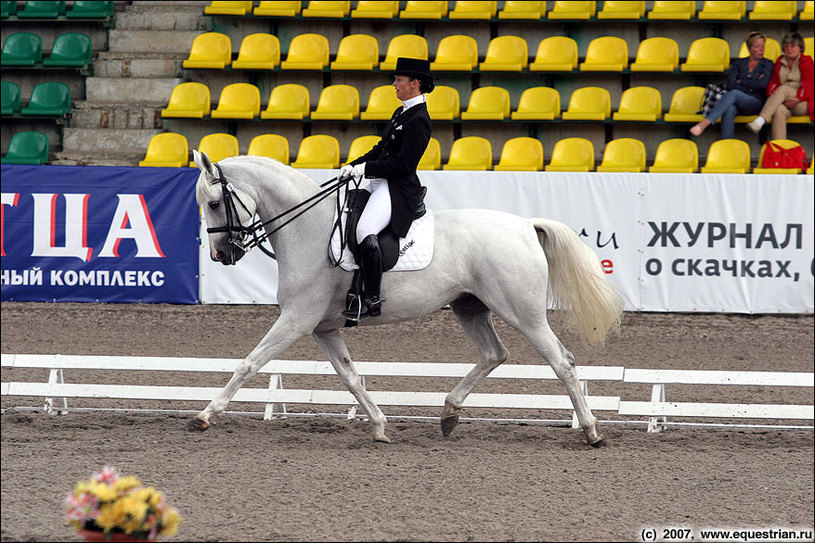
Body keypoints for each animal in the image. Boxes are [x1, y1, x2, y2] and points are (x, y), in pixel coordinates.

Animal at [191, 150, 624, 446]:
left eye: (213, 203)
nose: (221, 255)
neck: (308, 227)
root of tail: (525, 225)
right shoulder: (322, 328)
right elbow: (350, 376)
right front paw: (380, 427)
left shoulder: (297, 318)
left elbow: (249, 363)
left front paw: (205, 415)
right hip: (469, 307)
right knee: (494, 354)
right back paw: (449, 414)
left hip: (524, 313)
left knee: (562, 361)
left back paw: (592, 432)